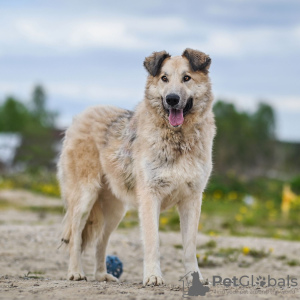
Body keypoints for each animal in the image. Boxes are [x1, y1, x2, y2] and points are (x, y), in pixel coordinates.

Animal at [56, 48, 216, 286]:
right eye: (164, 78)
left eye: (186, 78)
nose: (172, 99)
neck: (177, 140)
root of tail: (80, 117)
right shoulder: (150, 197)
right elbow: (153, 242)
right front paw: (153, 276)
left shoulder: (192, 199)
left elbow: (189, 248)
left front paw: (194, 278)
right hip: (85, 198)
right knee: (75, 235)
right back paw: (75, 272)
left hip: (115, 211)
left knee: (101, 241)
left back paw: (102, 275)